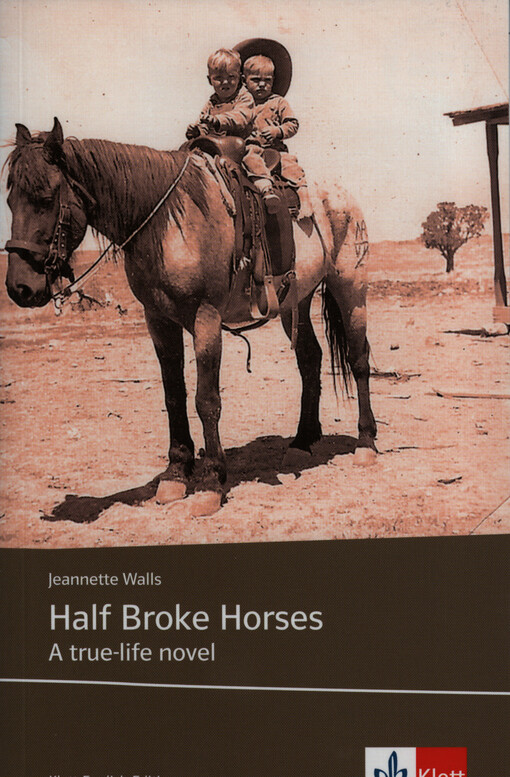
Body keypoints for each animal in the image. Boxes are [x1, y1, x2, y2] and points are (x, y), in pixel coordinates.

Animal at [4, 117, 377, 514]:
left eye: (46, 199)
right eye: (10, 201)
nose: (19, 288)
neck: (167, 222)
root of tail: (341, 196)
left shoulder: (206, 318)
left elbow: (206, 400)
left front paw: (212, 481)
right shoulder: (158, 320)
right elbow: (173, 396)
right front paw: (175, 474)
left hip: (350, 287)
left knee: (358, 360)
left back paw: (366, 443)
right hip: (297, 301)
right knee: (309, 358)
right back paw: (302, 442)